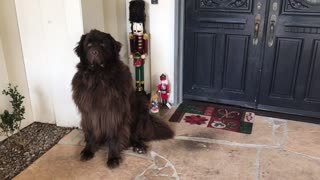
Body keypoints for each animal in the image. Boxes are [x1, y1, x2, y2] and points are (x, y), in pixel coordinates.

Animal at [72, 29, 174, 169]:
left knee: (134, 136)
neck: (98, 76)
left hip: (141, 109)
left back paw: (138, 146)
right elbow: (92, 133)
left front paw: (113, 157)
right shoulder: (89, 114)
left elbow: (114, 136)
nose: (94, 52)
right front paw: (88, 150)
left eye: (103, 44)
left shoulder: (114, 113)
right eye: (89, 45)